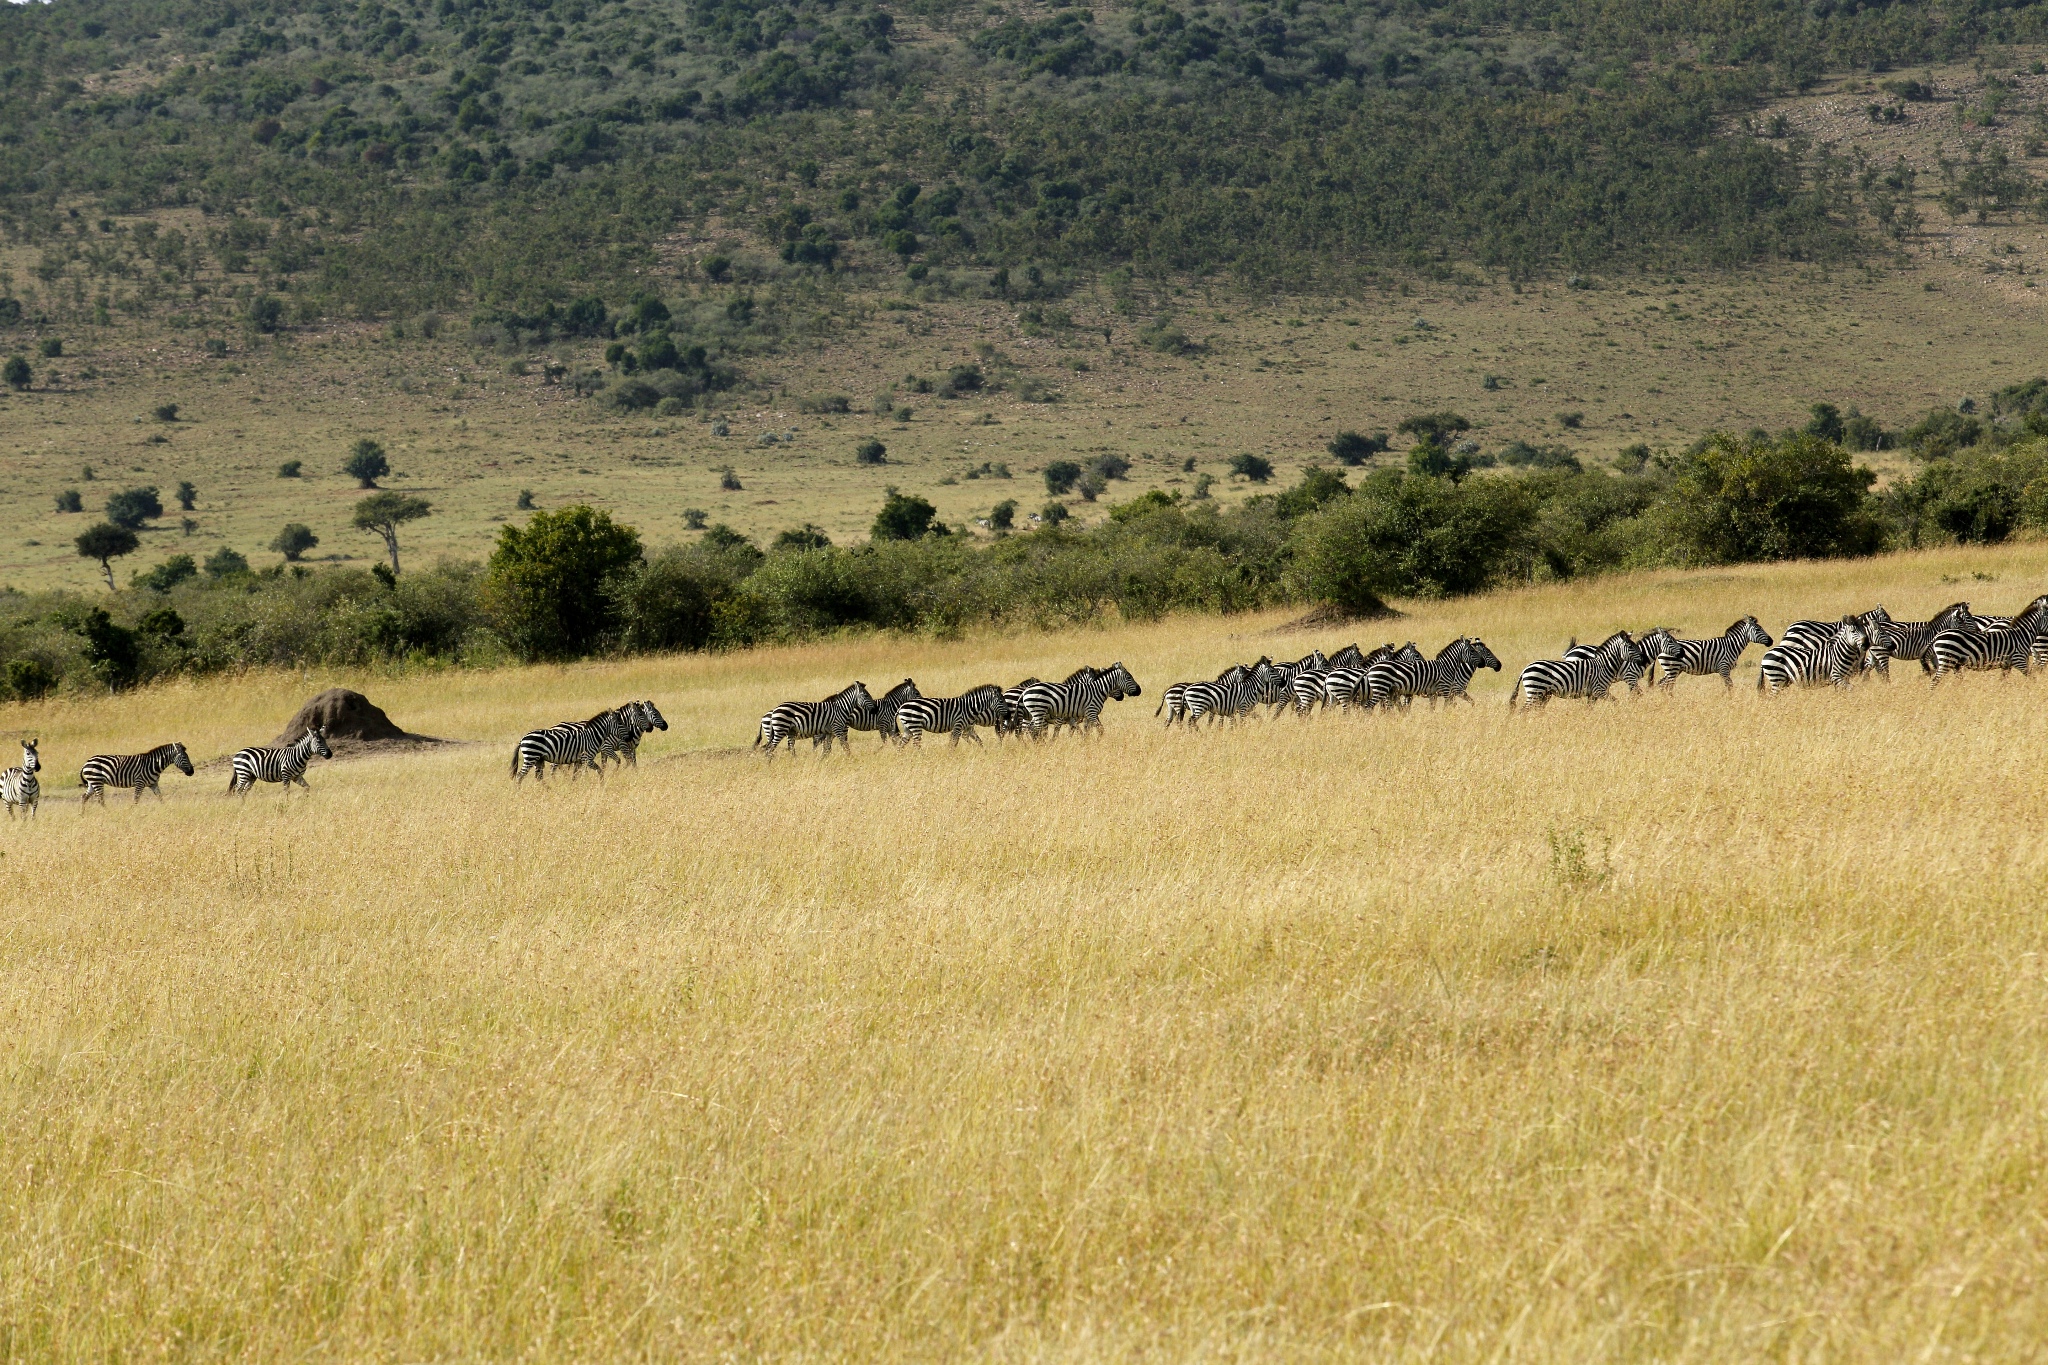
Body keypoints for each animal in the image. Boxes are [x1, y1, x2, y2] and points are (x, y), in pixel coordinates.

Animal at [1359, 638, 1507, 712]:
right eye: (1487, 652)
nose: (1500, 666)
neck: (1450, 667)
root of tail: (1371, 668)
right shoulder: (1452, 691)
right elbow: (1454, 705)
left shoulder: (1434, 693)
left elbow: (1434, 708)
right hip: (1382, 689)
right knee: (1371, 707)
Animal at [1507, 634, 1646, 712]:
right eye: (1630, 646)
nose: (1643, 657)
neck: (1605, 665)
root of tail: (1525, 669)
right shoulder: (1599, 690)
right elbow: (1616, 702)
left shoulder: (1592, 694)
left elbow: (1589, 709)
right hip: (1535, 691)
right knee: (1523, 710)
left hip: (1544, 694)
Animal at [1646, 618, 1777, 687]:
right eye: (1758, 629)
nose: (1771, 641)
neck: (1731, 646)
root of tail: (1660, 651)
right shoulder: (1724, 668)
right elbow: (1730, 686)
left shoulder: (1724, 670)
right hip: (1672, 668)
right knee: (1666, 685)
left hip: (1674, 670)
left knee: (1662, 684)